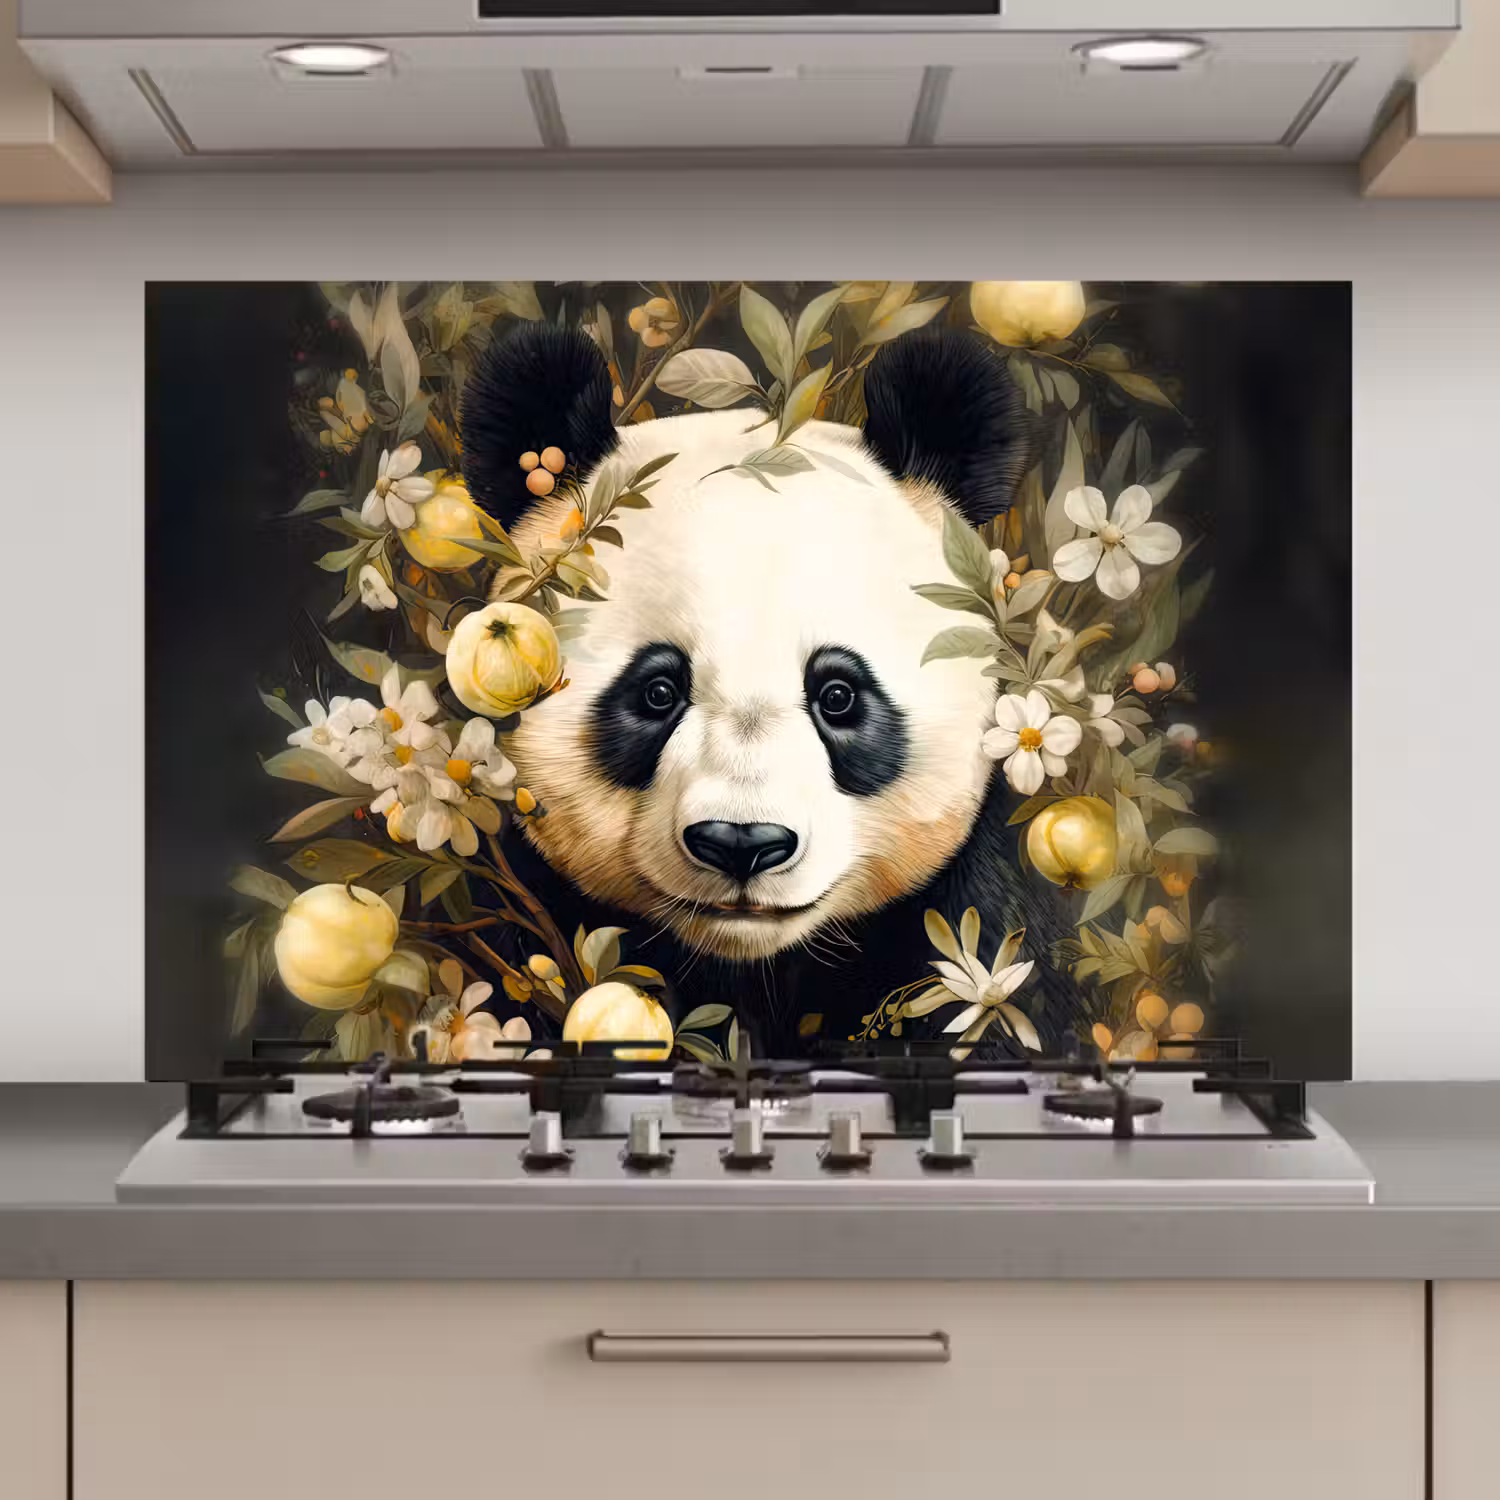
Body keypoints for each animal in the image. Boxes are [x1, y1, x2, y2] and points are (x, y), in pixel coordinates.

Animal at [459, 319, 1077, 1056]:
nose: (742, 844)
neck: (754, 969)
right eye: (657, 692)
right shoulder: (527, 916)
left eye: (838, 695)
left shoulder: (970, 936)